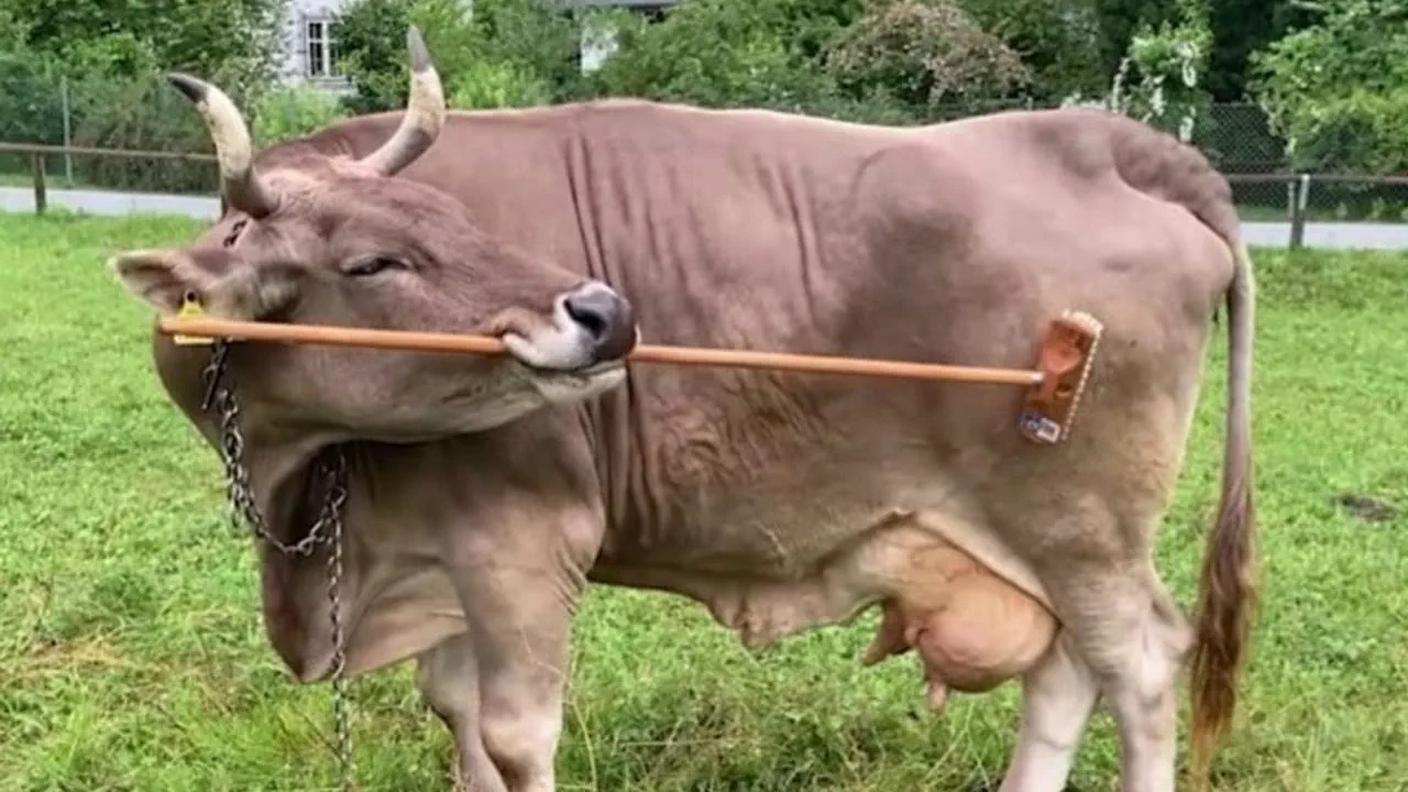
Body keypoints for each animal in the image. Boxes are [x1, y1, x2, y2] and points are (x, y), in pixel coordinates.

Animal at [111, 29, 1255, 792]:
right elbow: (460, 722)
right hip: (1041, 542)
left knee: (1140, 670)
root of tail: (1107, 141)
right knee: (1065, 674)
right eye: (372, 261)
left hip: (1083, 527)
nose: (607, 310)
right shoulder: (442, 563)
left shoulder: (523, 544)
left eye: (453, 216)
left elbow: (516, 740)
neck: (309, 494)